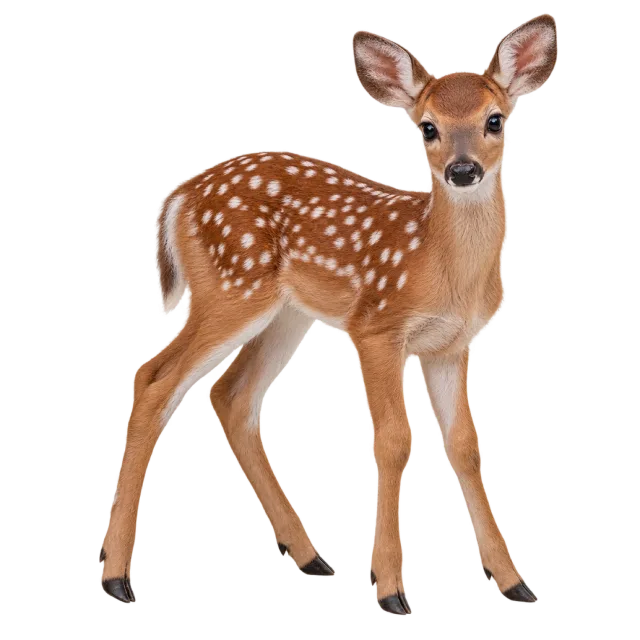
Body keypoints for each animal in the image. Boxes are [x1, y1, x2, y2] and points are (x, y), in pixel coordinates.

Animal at [99, 15, 558, 613]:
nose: (463, 170)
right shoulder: (376, 326)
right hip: (232, 287)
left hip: (287, 314)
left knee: (230, 394)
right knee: (154, 377)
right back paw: (116, 576)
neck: (444, 270)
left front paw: (513, 582)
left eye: (495, 120)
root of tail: (178, 196)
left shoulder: (452, 345)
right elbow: (394, 440)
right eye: (428, 128)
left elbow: (464, 447)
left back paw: (309, 555)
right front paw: (390, 588)